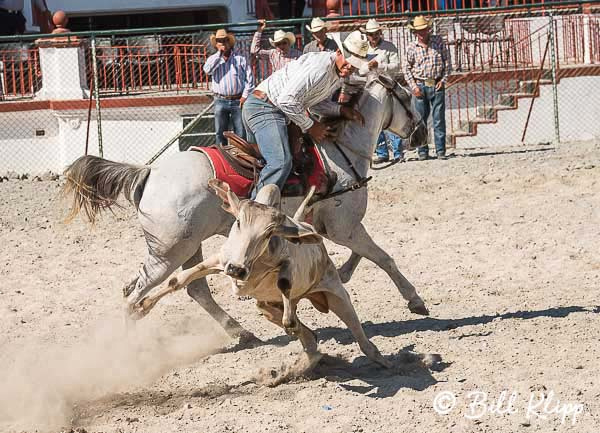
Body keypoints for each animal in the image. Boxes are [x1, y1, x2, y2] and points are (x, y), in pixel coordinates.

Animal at [63, 76, 432, 342]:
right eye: (407, 97)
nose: (421, 134)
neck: (338, 151)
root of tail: (150, 172)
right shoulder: (345, 226)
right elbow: (383, 257)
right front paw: (415, 300)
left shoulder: (336, 227)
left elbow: (364, 255)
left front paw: (342, 273)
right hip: (168, 252)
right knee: (136, 295)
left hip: (187, 246)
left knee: (193, 289)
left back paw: (241, 332)